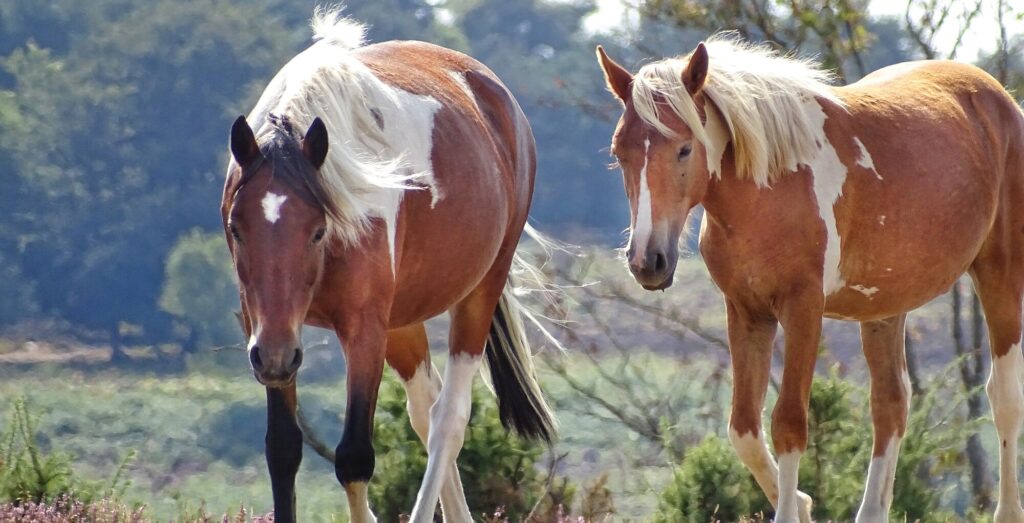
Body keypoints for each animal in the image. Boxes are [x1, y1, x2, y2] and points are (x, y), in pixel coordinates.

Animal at [220, 9, 554, 522]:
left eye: (316, 231)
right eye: (237, 228)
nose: (275, 356)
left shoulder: (362, 328)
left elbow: (355, 458)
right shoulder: (267, 329)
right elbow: (283, 450)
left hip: (478, 293)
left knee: (448, 419)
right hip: (400, 324)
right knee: (426, 410)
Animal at [596, 37, 1024, 522]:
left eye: (685, 149)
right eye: (619, 153)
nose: (648, 261)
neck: (771, 186)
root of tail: (998, 98)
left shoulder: (803, 310)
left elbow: (788, 424)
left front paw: (792, 508)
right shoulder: (747, 313)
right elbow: (744, 429)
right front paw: (801, 504)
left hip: (1000, 275)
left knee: (1004, 397)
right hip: (884, 306)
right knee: (891, 405)